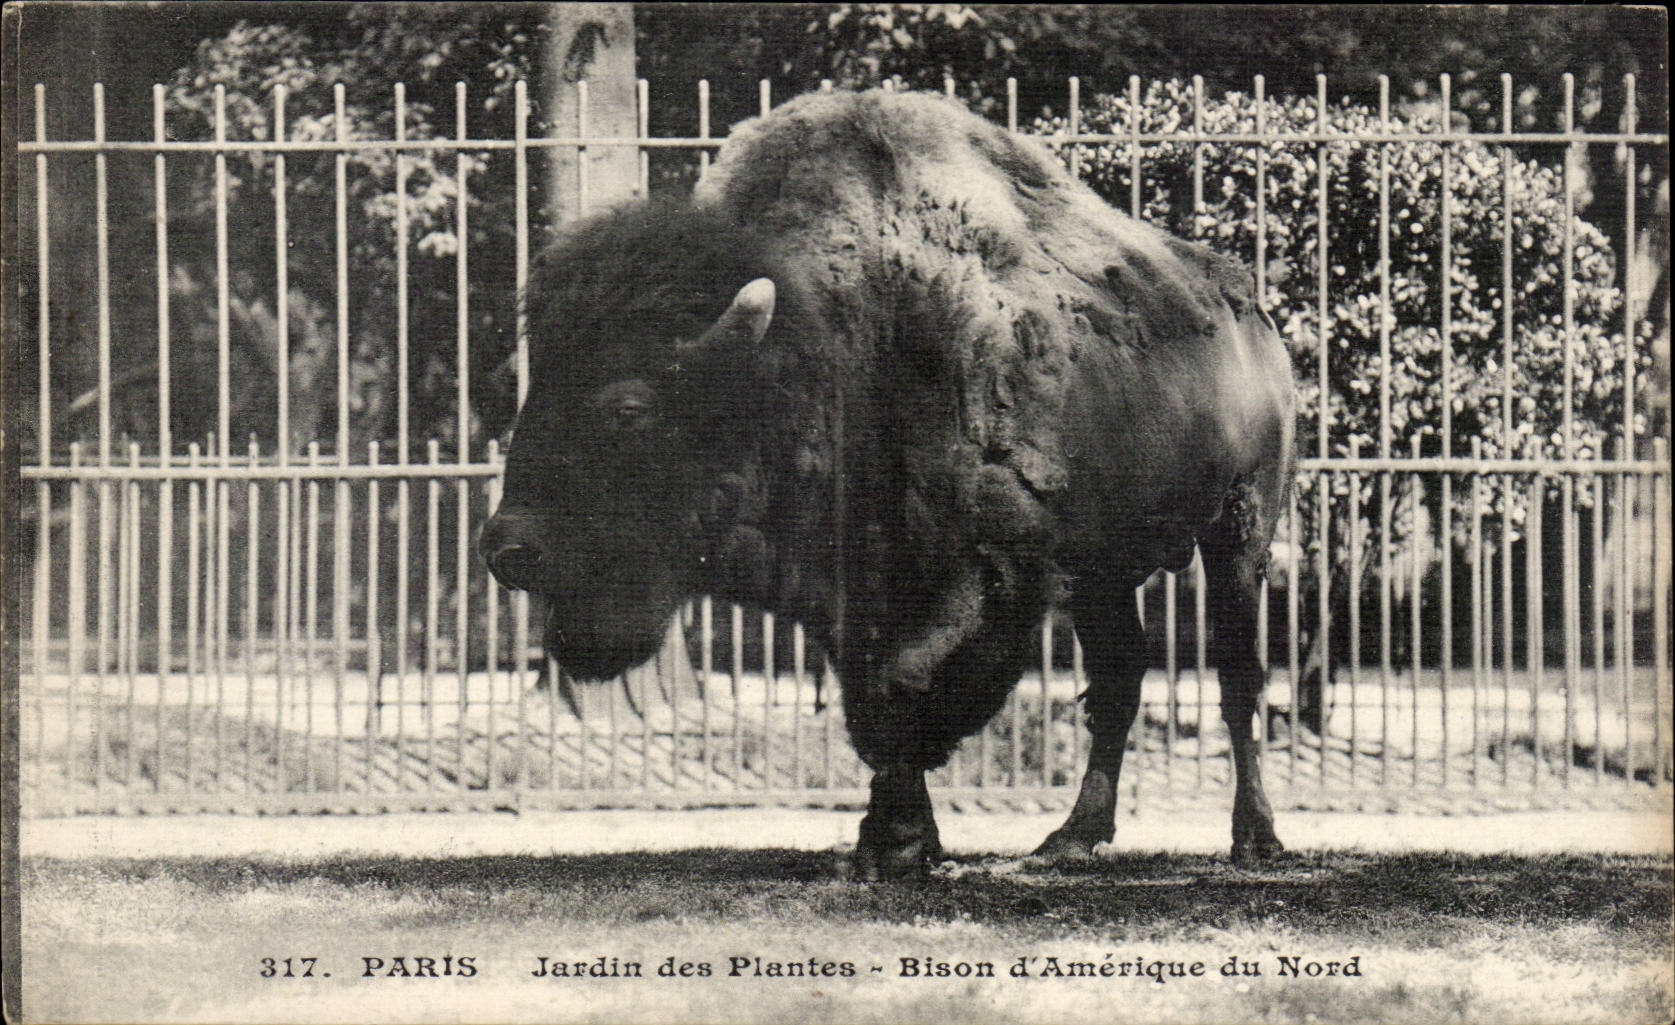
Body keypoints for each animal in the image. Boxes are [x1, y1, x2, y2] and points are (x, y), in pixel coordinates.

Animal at [480, 89, 1296, 880]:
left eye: (628, 407)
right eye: (531, 387)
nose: (508, 548)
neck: (828, 344)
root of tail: (1250, 312)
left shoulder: (991, 570)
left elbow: (901, 688)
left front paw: (898, 841)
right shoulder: (851, 591)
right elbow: (868, 698)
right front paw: (901, 841)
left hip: (1239, 526)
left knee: (1237, 678)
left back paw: (1254, 839)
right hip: (1104, 569)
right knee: (1120, 679)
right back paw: (1069, 839)